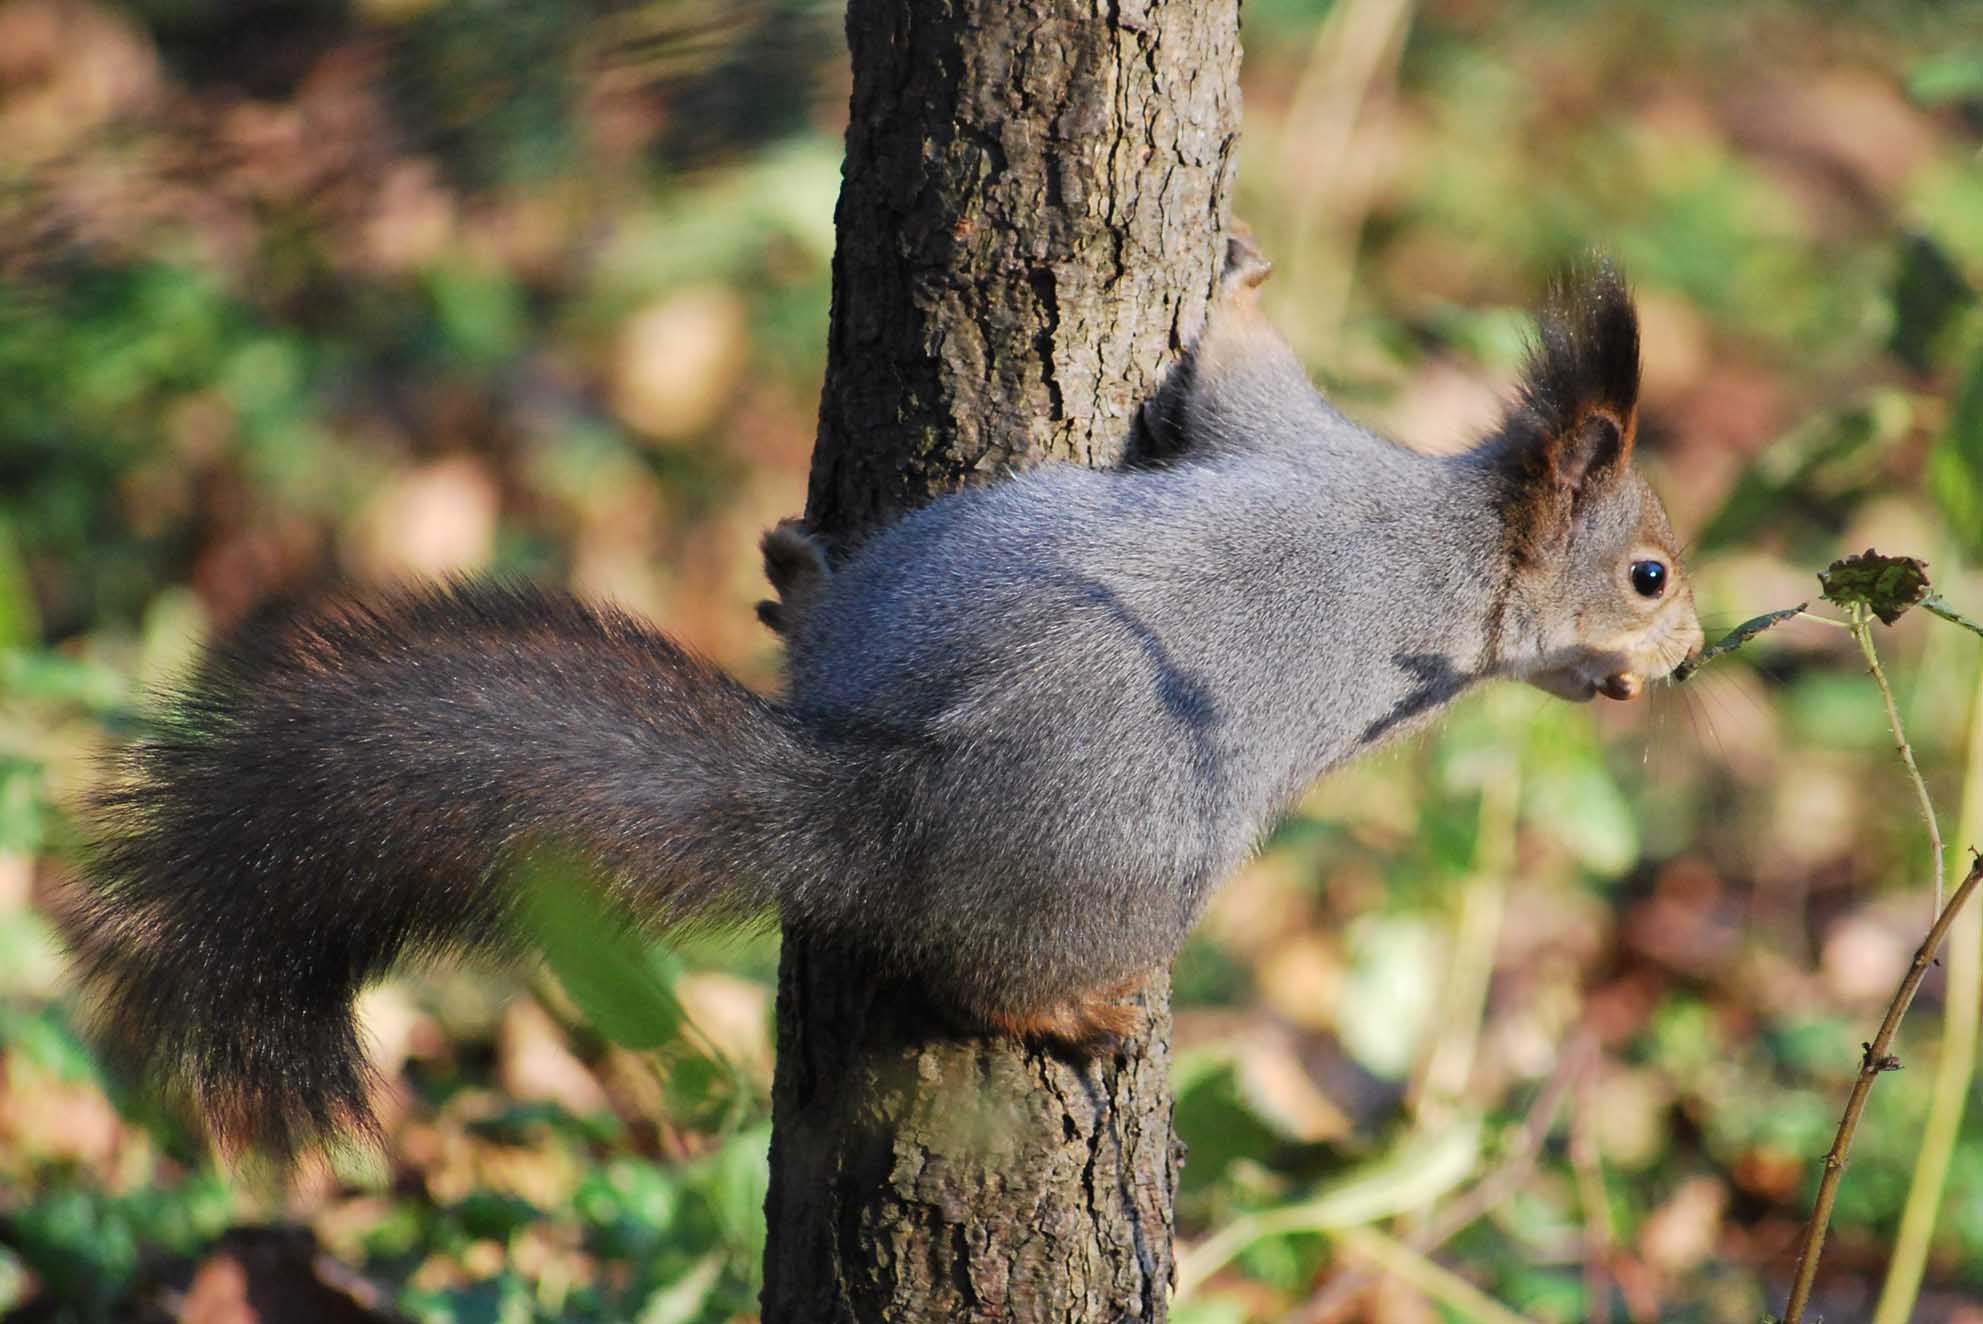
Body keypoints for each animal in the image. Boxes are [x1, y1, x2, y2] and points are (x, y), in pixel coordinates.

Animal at [61, 240, 1705, 1157]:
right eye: (1648, 572)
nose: (1686, 660)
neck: (1460, 534)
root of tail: (896, 797)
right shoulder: (1317, 452)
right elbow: (1241, 371)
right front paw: (1242, 281)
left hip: (935, 569)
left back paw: (799, 577)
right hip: (1137, 882)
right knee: (982, 985)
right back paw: (1077, 1010)